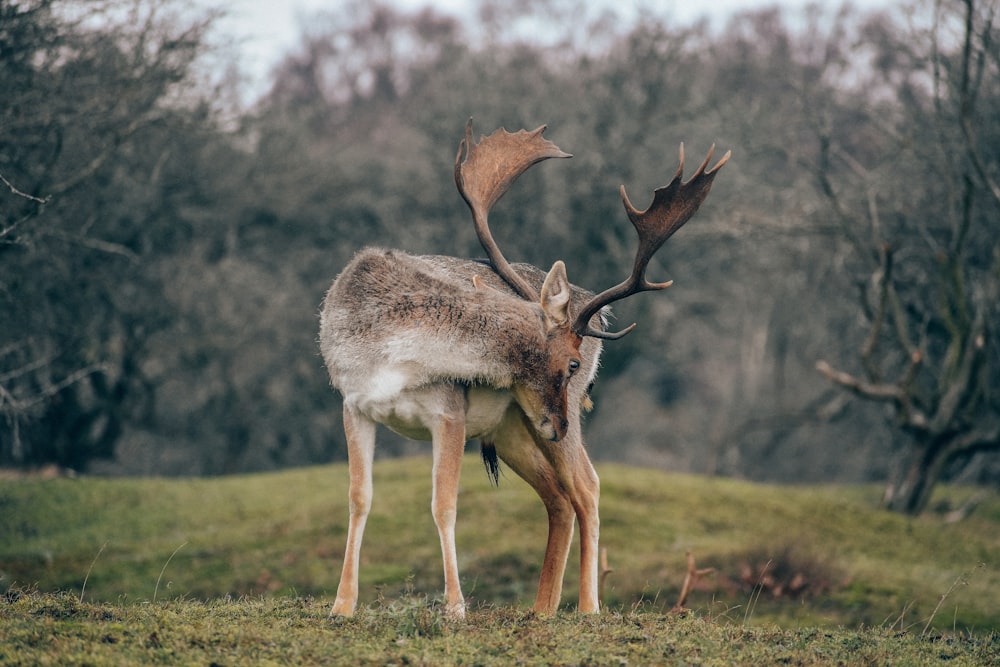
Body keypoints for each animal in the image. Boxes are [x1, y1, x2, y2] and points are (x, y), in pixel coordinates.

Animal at [320, 120, 728, 620]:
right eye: (570, 363)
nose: (560, 423)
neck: (388, 351)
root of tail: (598, 317)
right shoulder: (353, 404)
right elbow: (359, 499)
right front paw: (341, 606)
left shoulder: (449, 412)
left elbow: (444, 504)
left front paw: (455, 607)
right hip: (513, 427)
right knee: (558, 497)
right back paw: (542, 611)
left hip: (531, 427)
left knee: (587, 487)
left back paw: (588, 609)